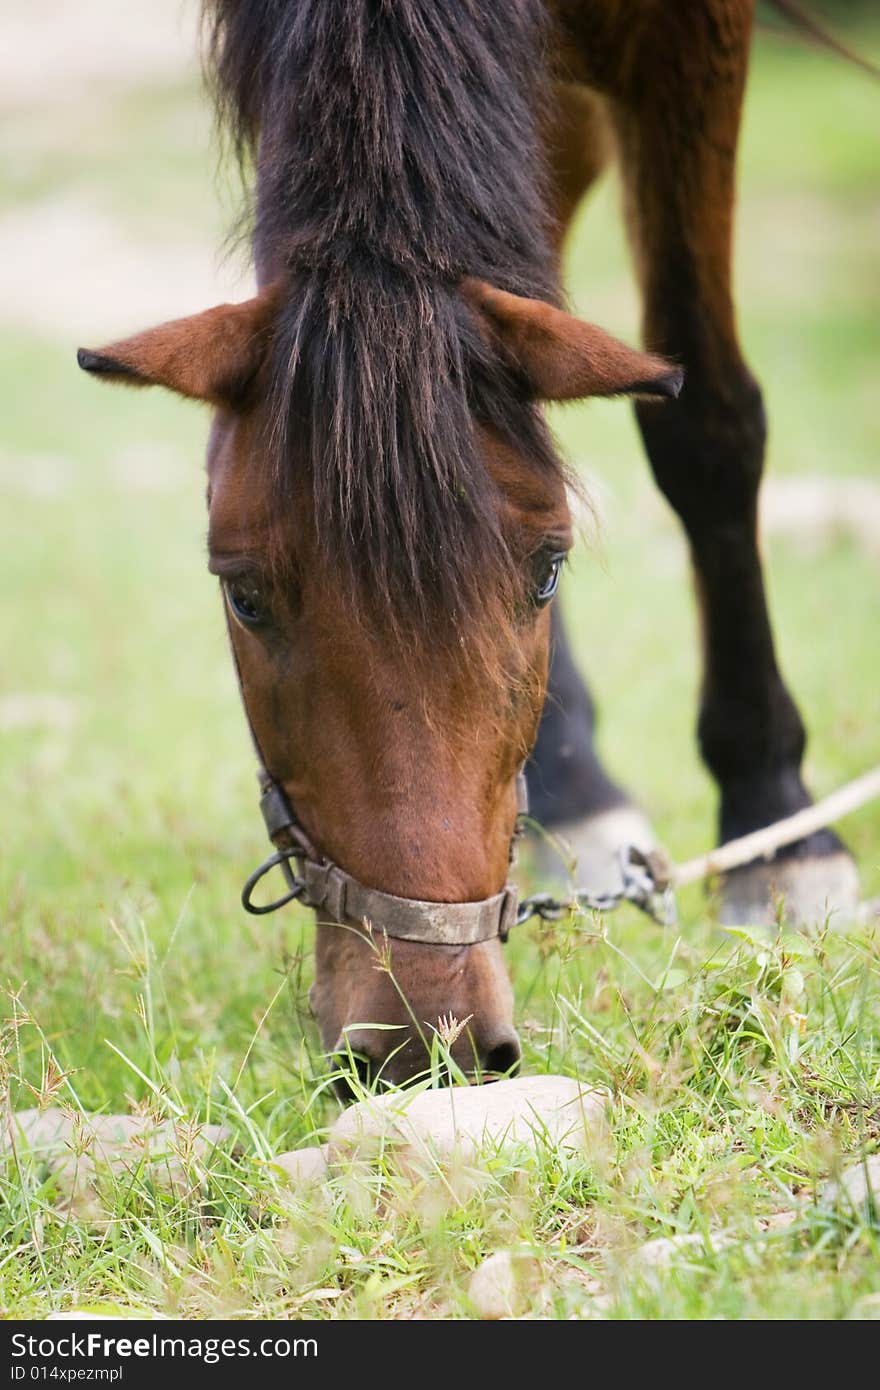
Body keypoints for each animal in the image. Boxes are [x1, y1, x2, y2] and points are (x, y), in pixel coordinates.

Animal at [75, 0, 856, 1089]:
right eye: (243, 596)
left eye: (549, 571)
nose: (423, 1038)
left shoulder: (692, 41)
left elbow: (704, 423)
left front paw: (775, 826)